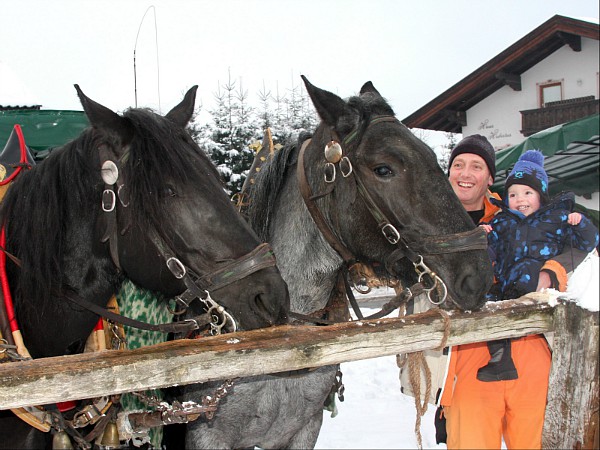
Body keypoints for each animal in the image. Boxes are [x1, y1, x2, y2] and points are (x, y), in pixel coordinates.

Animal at [183, 78, 492, 450]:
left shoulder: (302, 429)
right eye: (383, 169)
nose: (477, 275)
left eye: (434, 159)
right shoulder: (206, 435)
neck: (283, 338)